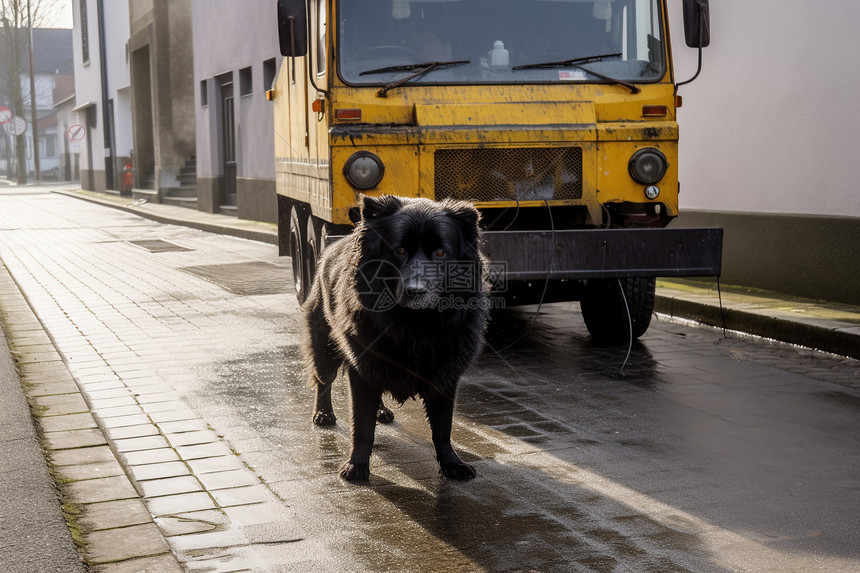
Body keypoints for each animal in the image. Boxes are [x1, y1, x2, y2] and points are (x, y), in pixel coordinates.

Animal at [306, 194, 488, 480]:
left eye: (440, 253)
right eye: (400, 251)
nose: (415, 291)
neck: (414, 324)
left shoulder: (446, 374)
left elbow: (443, 427)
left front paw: (451, 463)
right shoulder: (361, 366)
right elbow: (362, 425)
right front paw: (356, 466)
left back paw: (381, 411)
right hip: (324, 343)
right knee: (323, 380)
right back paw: (323, 414)